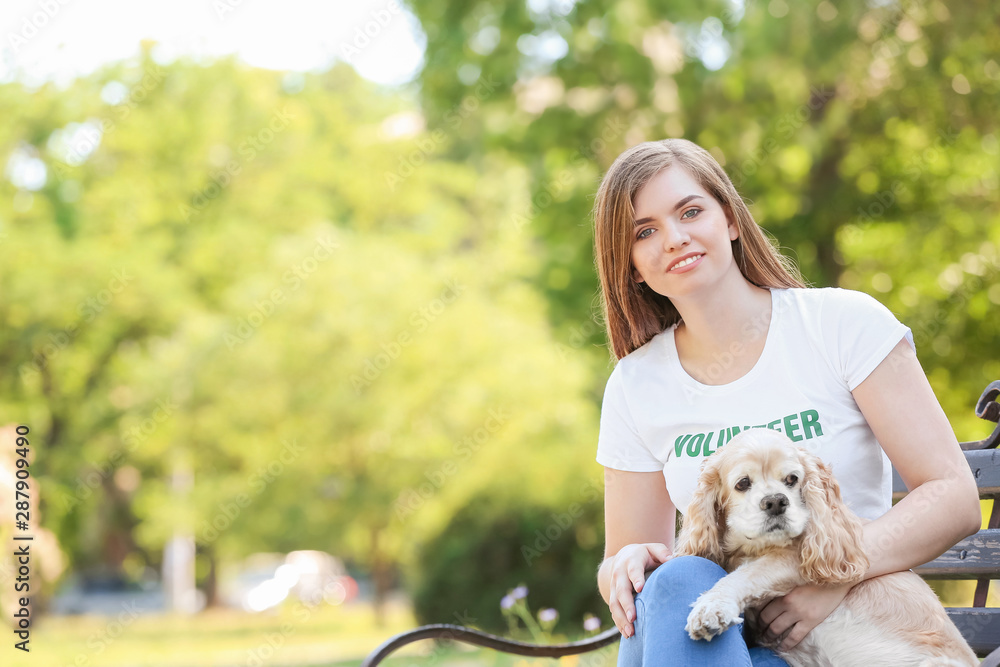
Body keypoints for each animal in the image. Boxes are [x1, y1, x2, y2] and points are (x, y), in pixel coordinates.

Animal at [672, 428, 976, 667]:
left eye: (792, 479)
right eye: (743, 483)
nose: (776, 502)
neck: (754, 548)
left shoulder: (794, 559)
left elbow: (746, 575)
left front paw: (711, 607)